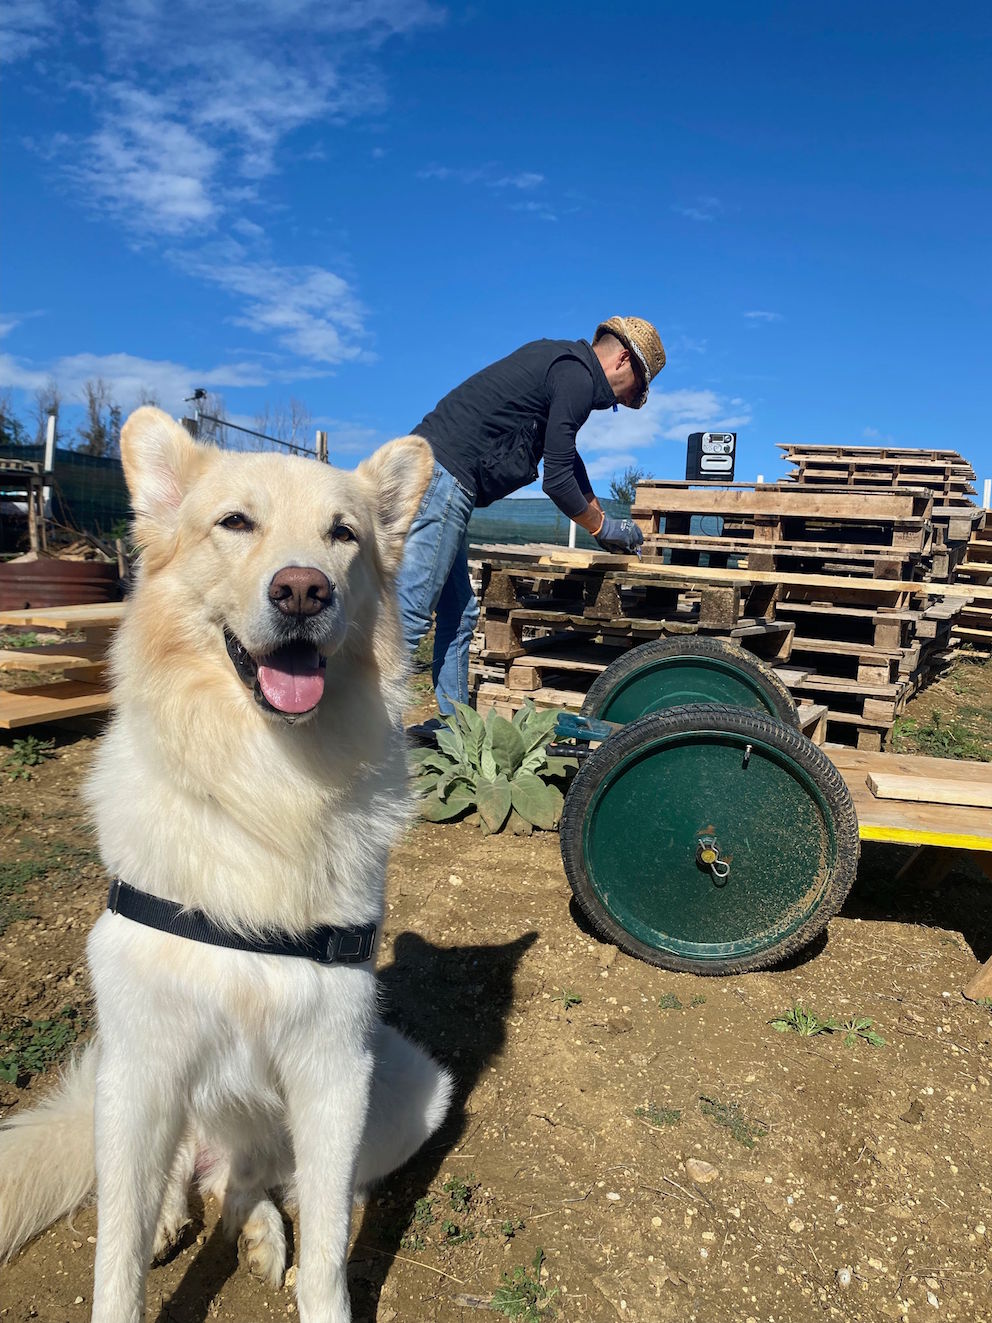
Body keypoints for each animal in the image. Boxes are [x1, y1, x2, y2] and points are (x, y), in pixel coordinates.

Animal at [0, 407, 454, 1317]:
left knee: (261, 1182)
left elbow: (328, 1249)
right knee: (181, 1172)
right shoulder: (142, 1058)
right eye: (235, 522)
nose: (303, 590)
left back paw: (259, 1232)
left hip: (411, 1086)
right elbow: (116, 1258)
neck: (263, 779)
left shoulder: (332, 1063)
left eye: (343, 535)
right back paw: (178, 1212)